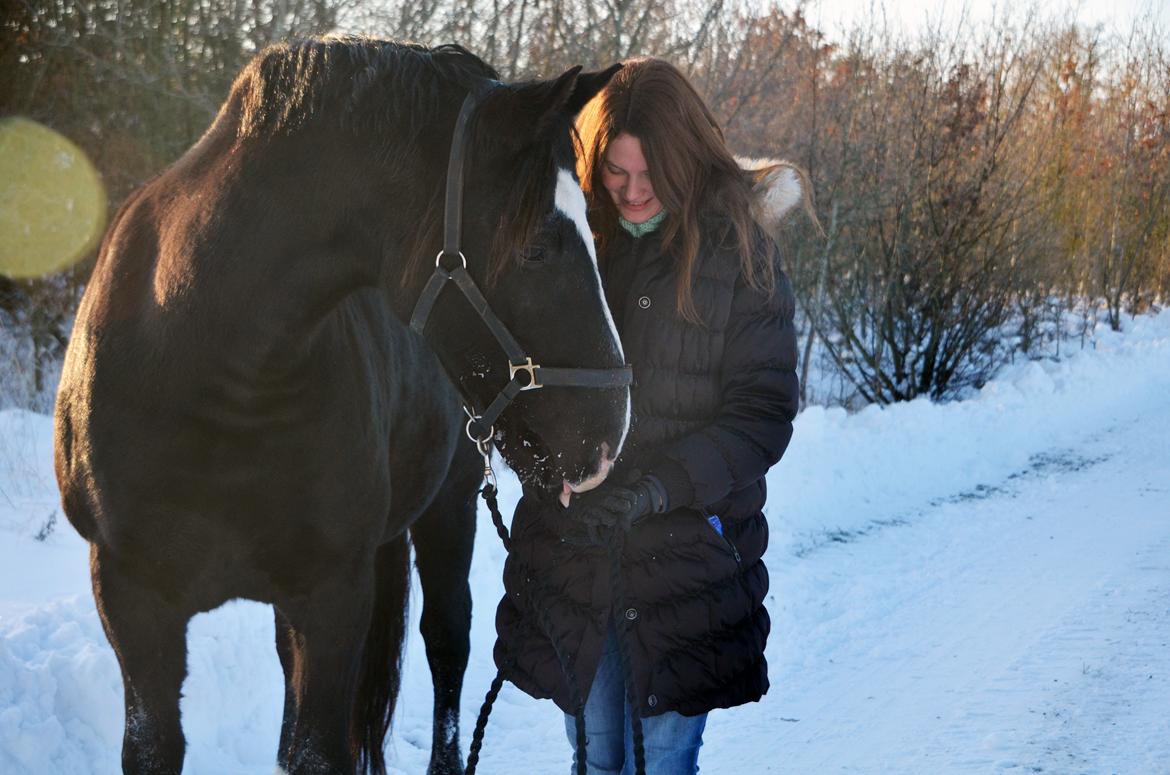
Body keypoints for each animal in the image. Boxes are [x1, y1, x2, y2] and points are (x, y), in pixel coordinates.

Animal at [52, 39, 631, 772]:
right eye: (536, 247)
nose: (609, 434)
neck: (205, 367)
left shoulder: (332, 594)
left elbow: (317, 749)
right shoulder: (131, 597)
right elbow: (157, 747)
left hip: (449, 506)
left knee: (448, 644)